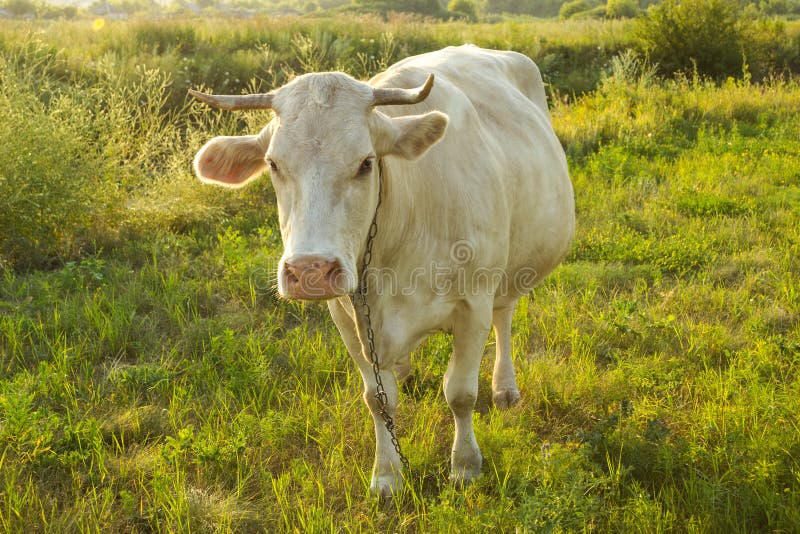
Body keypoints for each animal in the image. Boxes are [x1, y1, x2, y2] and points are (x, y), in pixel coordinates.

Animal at [189, 45, 575, 498]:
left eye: (366, 163)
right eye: (273, 164)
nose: (310, 270)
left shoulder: (473, 304)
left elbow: (460, 393)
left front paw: (465, 465)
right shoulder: (346, 314)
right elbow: (378, 399)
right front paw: (387, 474)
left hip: (511, 273)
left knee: (505, 318)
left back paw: (505, 388)